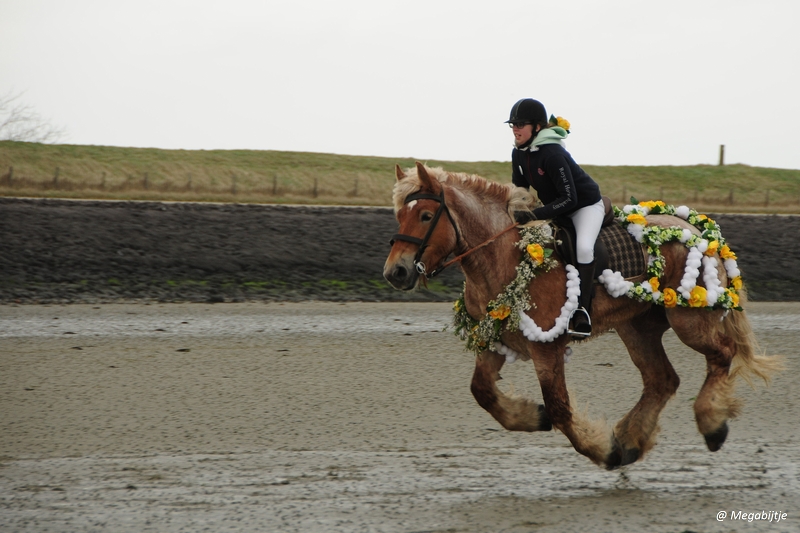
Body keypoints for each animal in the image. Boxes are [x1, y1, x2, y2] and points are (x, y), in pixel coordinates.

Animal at [382, 162, 780, 470]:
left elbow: (560, 409)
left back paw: (711, 423)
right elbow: (482, 392)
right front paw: (533, 416)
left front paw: (602, 450)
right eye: (399, 214)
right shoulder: (494, 339)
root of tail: (699, 229)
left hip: (688, 319)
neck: (505, 256)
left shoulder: (547, 347)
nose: (395, 272)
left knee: (722, 354)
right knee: (662, 379)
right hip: (637, 327)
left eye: (426, 216)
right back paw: (632, 440)